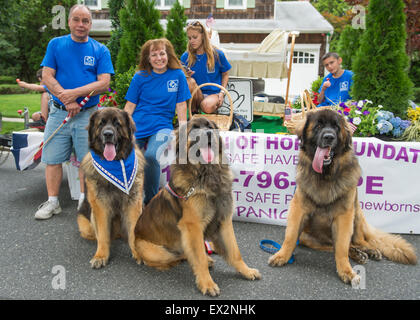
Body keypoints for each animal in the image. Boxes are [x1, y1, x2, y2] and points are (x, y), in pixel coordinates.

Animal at [76, 109, 145, 268]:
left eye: (117, 123)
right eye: (101, 124)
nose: (108, 134)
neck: (116, 163)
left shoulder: (134, 203)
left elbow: (133, 231)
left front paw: (137, 252)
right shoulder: (100, 206)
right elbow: (102, 234)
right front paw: (101, 255)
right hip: (87, 222)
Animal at [135, 117, 260, 296]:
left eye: (209, 126)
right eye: (194, 129)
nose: (208, 133)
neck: (205, 174)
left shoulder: (224, 220)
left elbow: (235, 251)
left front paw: (246, 270)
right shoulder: (192, 226)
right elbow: (198, 257)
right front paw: (207, 283)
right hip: (159, 252)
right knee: (178, 256)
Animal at [270, 109, 416, 284]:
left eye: (336, 127)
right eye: (318, 126)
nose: (329, 137)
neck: (325, 176)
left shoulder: (344, 216)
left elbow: (341, 248)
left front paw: (346, 270)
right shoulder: (298, 210)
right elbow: (291, 237)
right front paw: (283, 256)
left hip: (357, 215)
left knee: (358, 241)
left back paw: (369, 250)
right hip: (306, 236)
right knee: (335, 245)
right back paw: (358, 254)